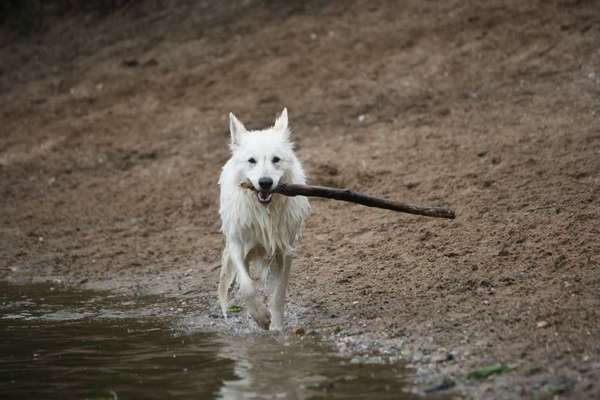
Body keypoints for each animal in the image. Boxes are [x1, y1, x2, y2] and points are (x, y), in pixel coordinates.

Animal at [217, 108, 310, 330]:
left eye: (276, 159)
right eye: (252, 160)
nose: (265, 182)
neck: (264, 213)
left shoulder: (284, 251)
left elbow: (278, 295)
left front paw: (276, 328)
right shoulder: (236, 245)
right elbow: (247, 287)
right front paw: (260, 317)